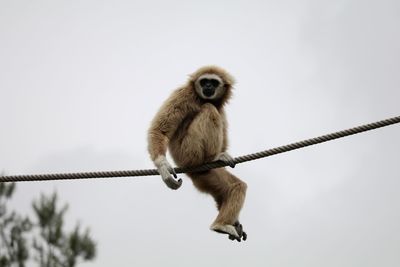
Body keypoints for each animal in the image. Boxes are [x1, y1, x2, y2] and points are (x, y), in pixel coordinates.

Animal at [148, 66, 247, 242]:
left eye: (213, 82)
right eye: (204, 81)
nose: (208, 86)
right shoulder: (184, 94)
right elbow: (160, 130)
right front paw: (162, 165)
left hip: (206, 175)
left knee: (237, 186)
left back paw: (222, 223)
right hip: (189, 153)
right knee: (209, 109)